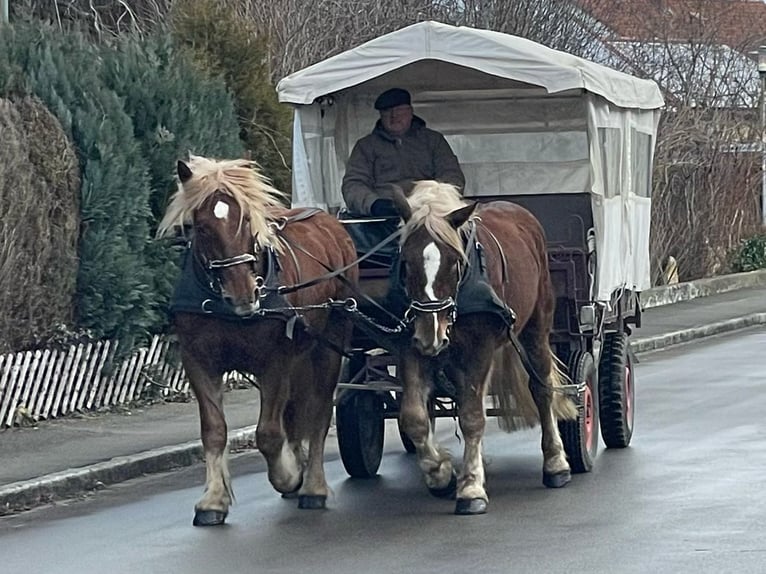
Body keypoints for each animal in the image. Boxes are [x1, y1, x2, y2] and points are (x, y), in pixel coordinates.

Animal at [157, 155, 358, 526]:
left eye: (247, 220)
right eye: (201, 227)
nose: (244, 294)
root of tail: (330, 222)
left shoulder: (274, 363)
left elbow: (268, 434)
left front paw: (288, 476)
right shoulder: (198, 361)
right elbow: (214, 429)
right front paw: (213, 500)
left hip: (329, 343)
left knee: (320, 412)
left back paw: (312, 486)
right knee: (297, 413)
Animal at [390, 180, 577, 515]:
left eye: (454, 263)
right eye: (406, 263)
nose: (430, 335)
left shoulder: (480, 347)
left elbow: (473, 416)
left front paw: (471, 487)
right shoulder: (410, 346)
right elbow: (415, 417)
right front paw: (441, 473)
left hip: (537, 325)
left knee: (541, 388)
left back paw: (556, 463)